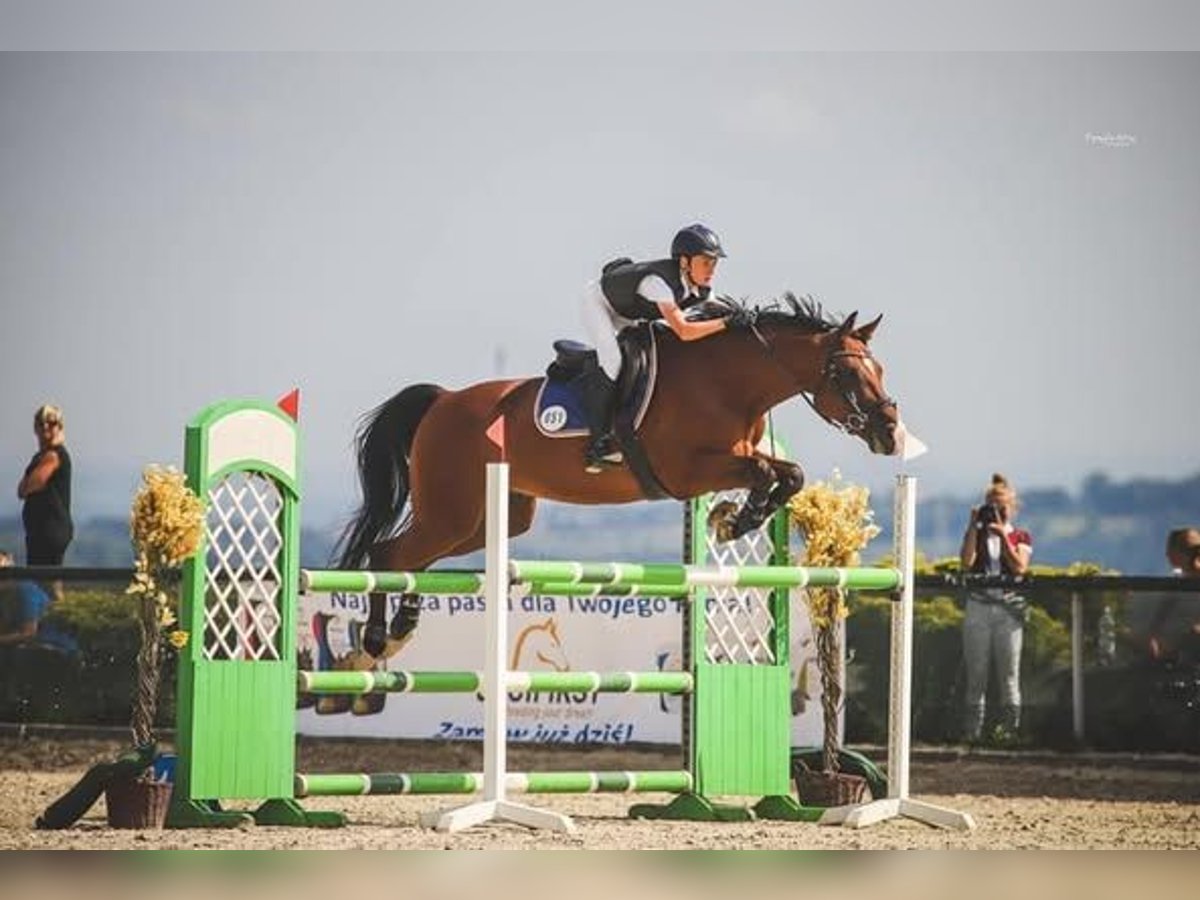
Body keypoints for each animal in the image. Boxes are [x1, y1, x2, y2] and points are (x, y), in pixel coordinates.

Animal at [336, 294, 903, 660]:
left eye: (879, 371)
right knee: (389, 553)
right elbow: (769, 471)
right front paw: (734, 520)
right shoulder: (687, 471)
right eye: (847, 374)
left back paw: (402, 628)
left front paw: (734, 518)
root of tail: (444, 401)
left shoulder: (732, 457)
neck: (726, 383)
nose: (890, 433)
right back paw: (376, 638)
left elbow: (790, 474)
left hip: (492, 516)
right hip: (453, 510)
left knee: (413, 558)